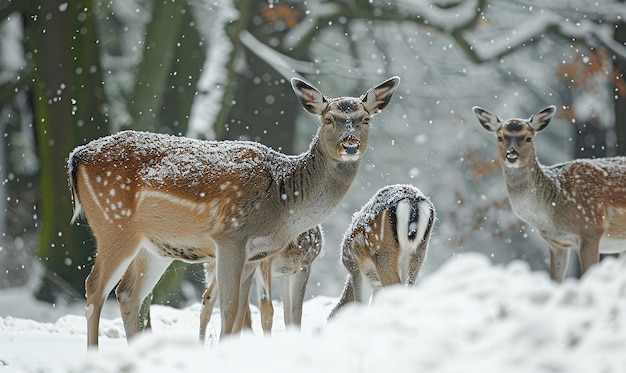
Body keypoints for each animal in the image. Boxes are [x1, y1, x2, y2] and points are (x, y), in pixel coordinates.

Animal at [67, 75, 400, 346]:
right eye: (328, 119)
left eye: (365, 119)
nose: (350, 145)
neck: (283, 199)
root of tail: (76, 156)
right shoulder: (231, 237)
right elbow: (229, 310)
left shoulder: (255, 254)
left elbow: (242, 312)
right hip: (113, 223)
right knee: (94, 288)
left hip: (155, 246)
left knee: (128, 293)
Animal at [326, 183, 434, 316]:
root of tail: (412, 201)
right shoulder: (376, 283)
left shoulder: (356, 269)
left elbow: (360, 303)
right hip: (419, 251)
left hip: (382, 251)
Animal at [470, 104, 624, 280]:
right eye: (500, 137)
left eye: (528, 138)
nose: (511, 155)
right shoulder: (557, 243)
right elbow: (555, 279)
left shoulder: (591, 228)